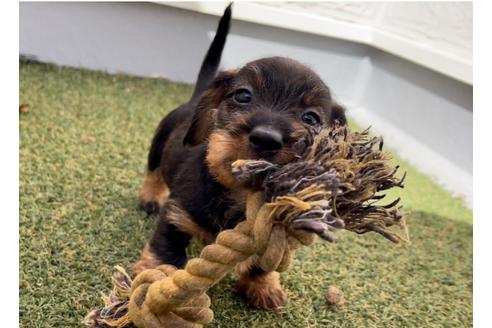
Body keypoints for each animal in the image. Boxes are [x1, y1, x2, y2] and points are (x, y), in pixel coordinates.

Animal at [136, 3, 348, 308]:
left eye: (311, 118)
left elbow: (265, 260)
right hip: (158, 144)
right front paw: (155, 283)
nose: (266, 138)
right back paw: (151, 197)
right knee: (153, 172)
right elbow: (167, 247)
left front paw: (262, 285)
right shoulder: (177, 213)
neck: (240, 196)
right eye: (243, 95)